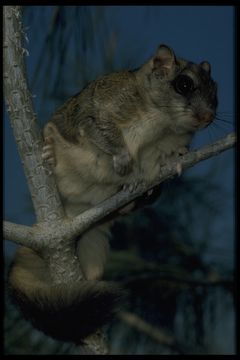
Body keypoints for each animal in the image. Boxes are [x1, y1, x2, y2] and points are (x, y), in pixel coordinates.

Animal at [7, 44, 218, 344]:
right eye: (184, 84)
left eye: (215, 90)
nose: (208, 117)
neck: (162, 122)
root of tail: (76, 210)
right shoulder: (103, 108)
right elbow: (99, 129)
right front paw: (122, 159)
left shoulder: (173, 140)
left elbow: (171, 154)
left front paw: (176, 160)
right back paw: (49, 152)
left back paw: (140, 194)